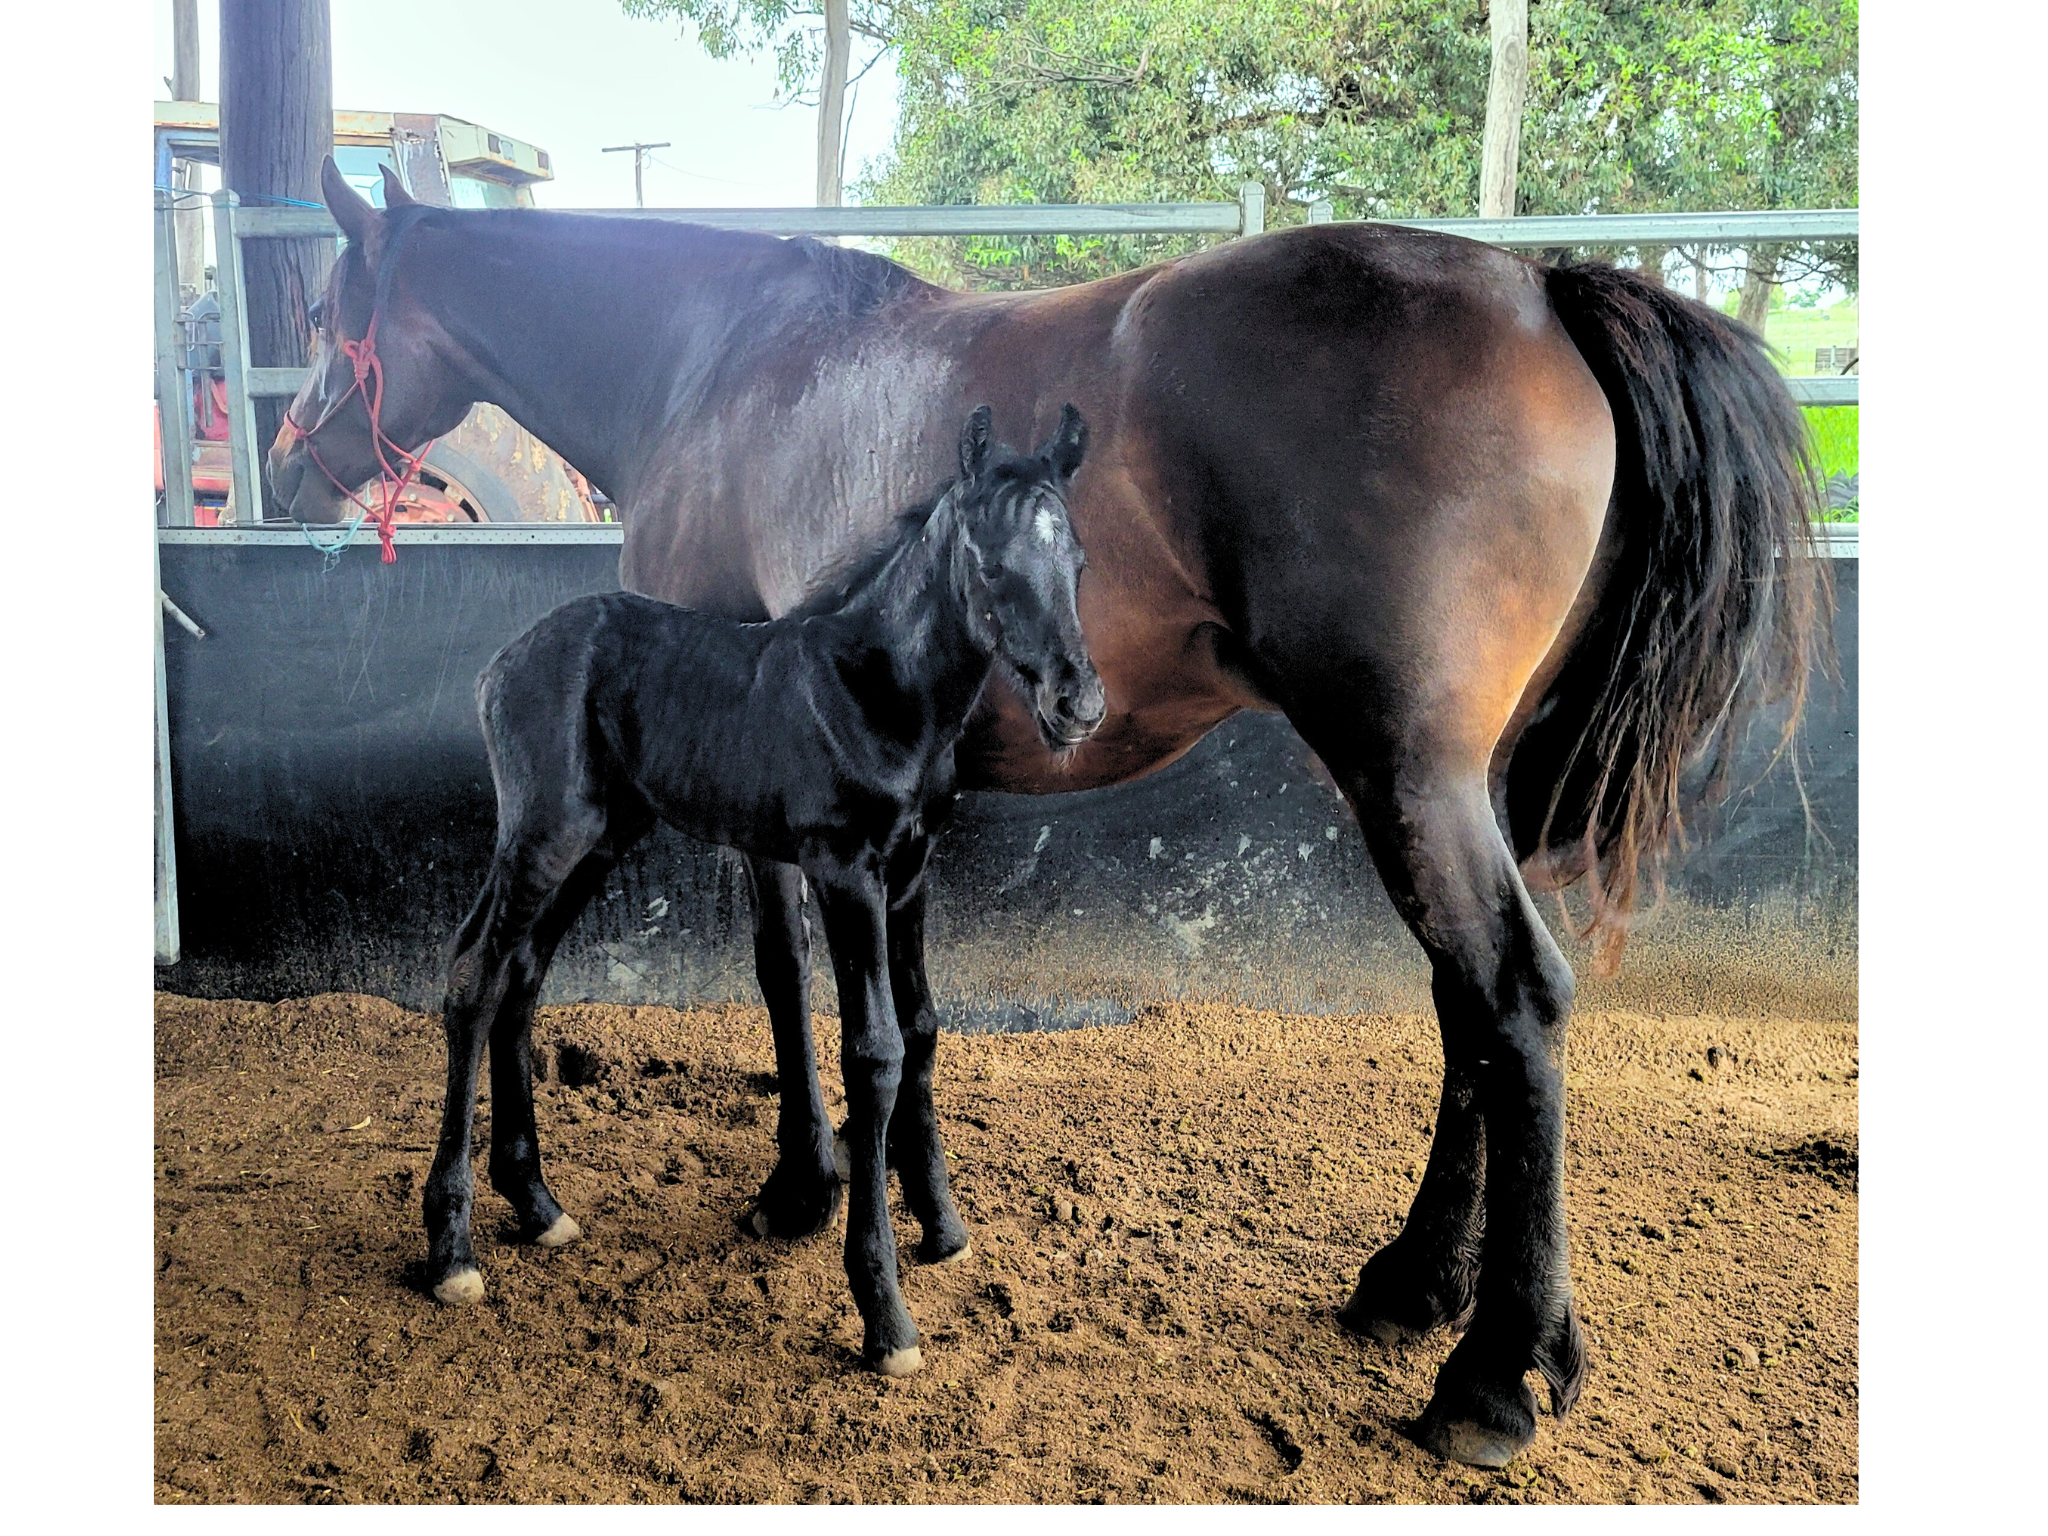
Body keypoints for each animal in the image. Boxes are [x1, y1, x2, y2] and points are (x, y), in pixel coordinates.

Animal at [425, 404, 1099, 1377]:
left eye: (1078, 562)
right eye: (992, 566)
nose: (1079, 705)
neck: (880, 693)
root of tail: (498, 666)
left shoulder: (912, 872)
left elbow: (925, 1027)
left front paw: (943, 1228)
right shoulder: (842, 868)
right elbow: (873, 1054)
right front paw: (885, 1313)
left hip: (599, 838)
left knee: (522, 975)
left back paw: (539, 1206)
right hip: (543, 832)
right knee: (475, 974)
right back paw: (451, 1251)